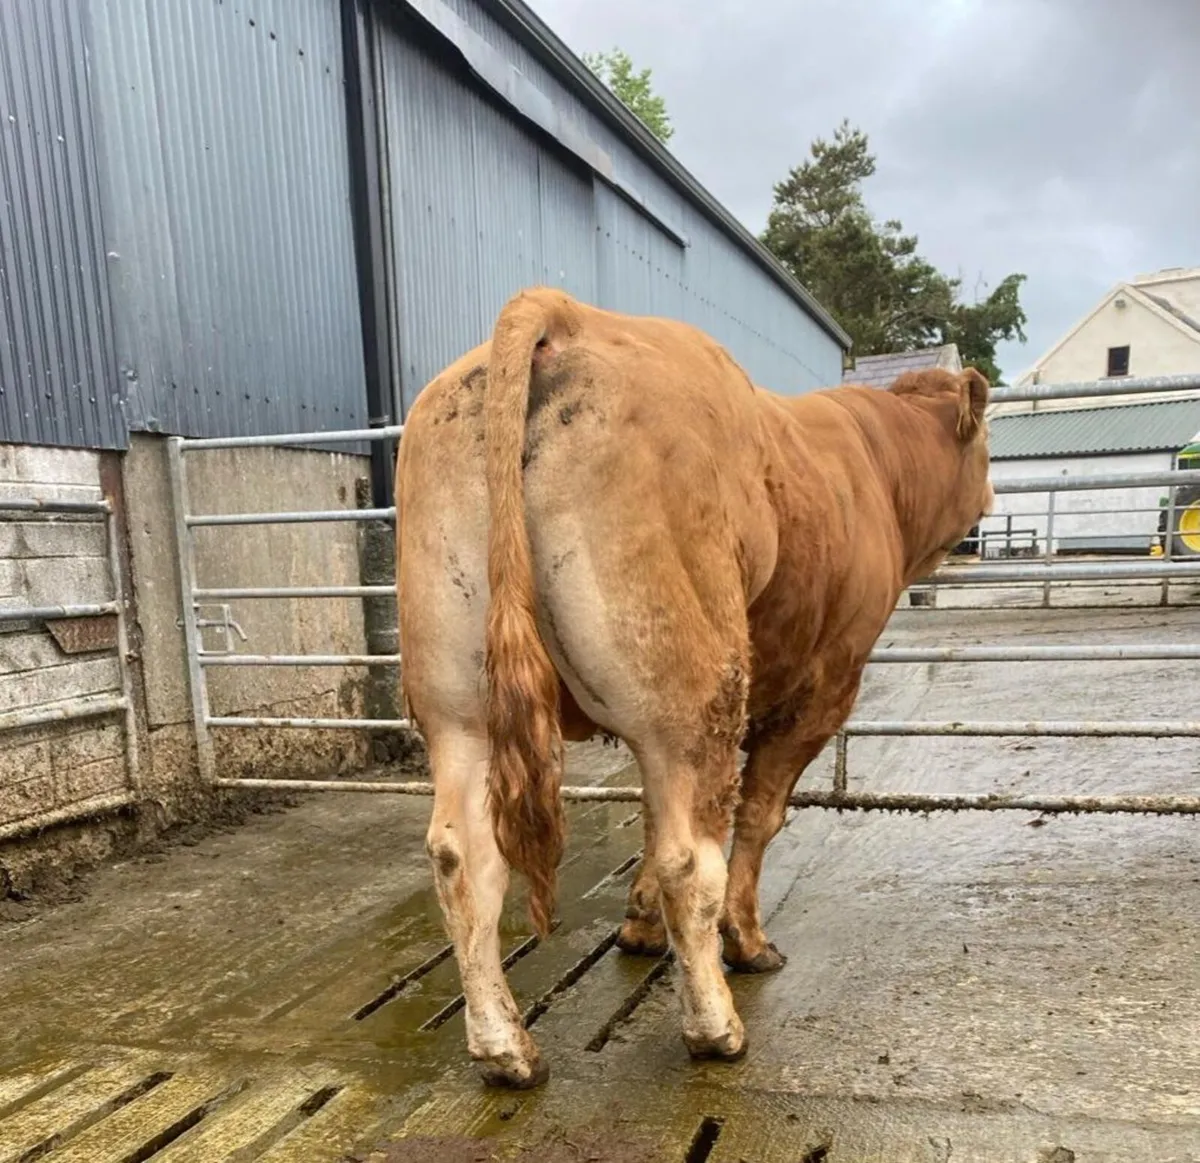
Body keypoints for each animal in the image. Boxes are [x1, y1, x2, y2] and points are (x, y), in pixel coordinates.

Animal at [395, 286, 994, 1089]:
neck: (875, 469)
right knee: (690, 856)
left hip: (459, 702)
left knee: (464, 855)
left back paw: (506, 1050)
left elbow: (648, 824)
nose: (991, 494)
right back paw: (716, 1027)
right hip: (694, 690)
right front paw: (748, 941)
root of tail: (562, 311)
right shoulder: (826, 684)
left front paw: (638, 926)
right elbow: (760, 816)